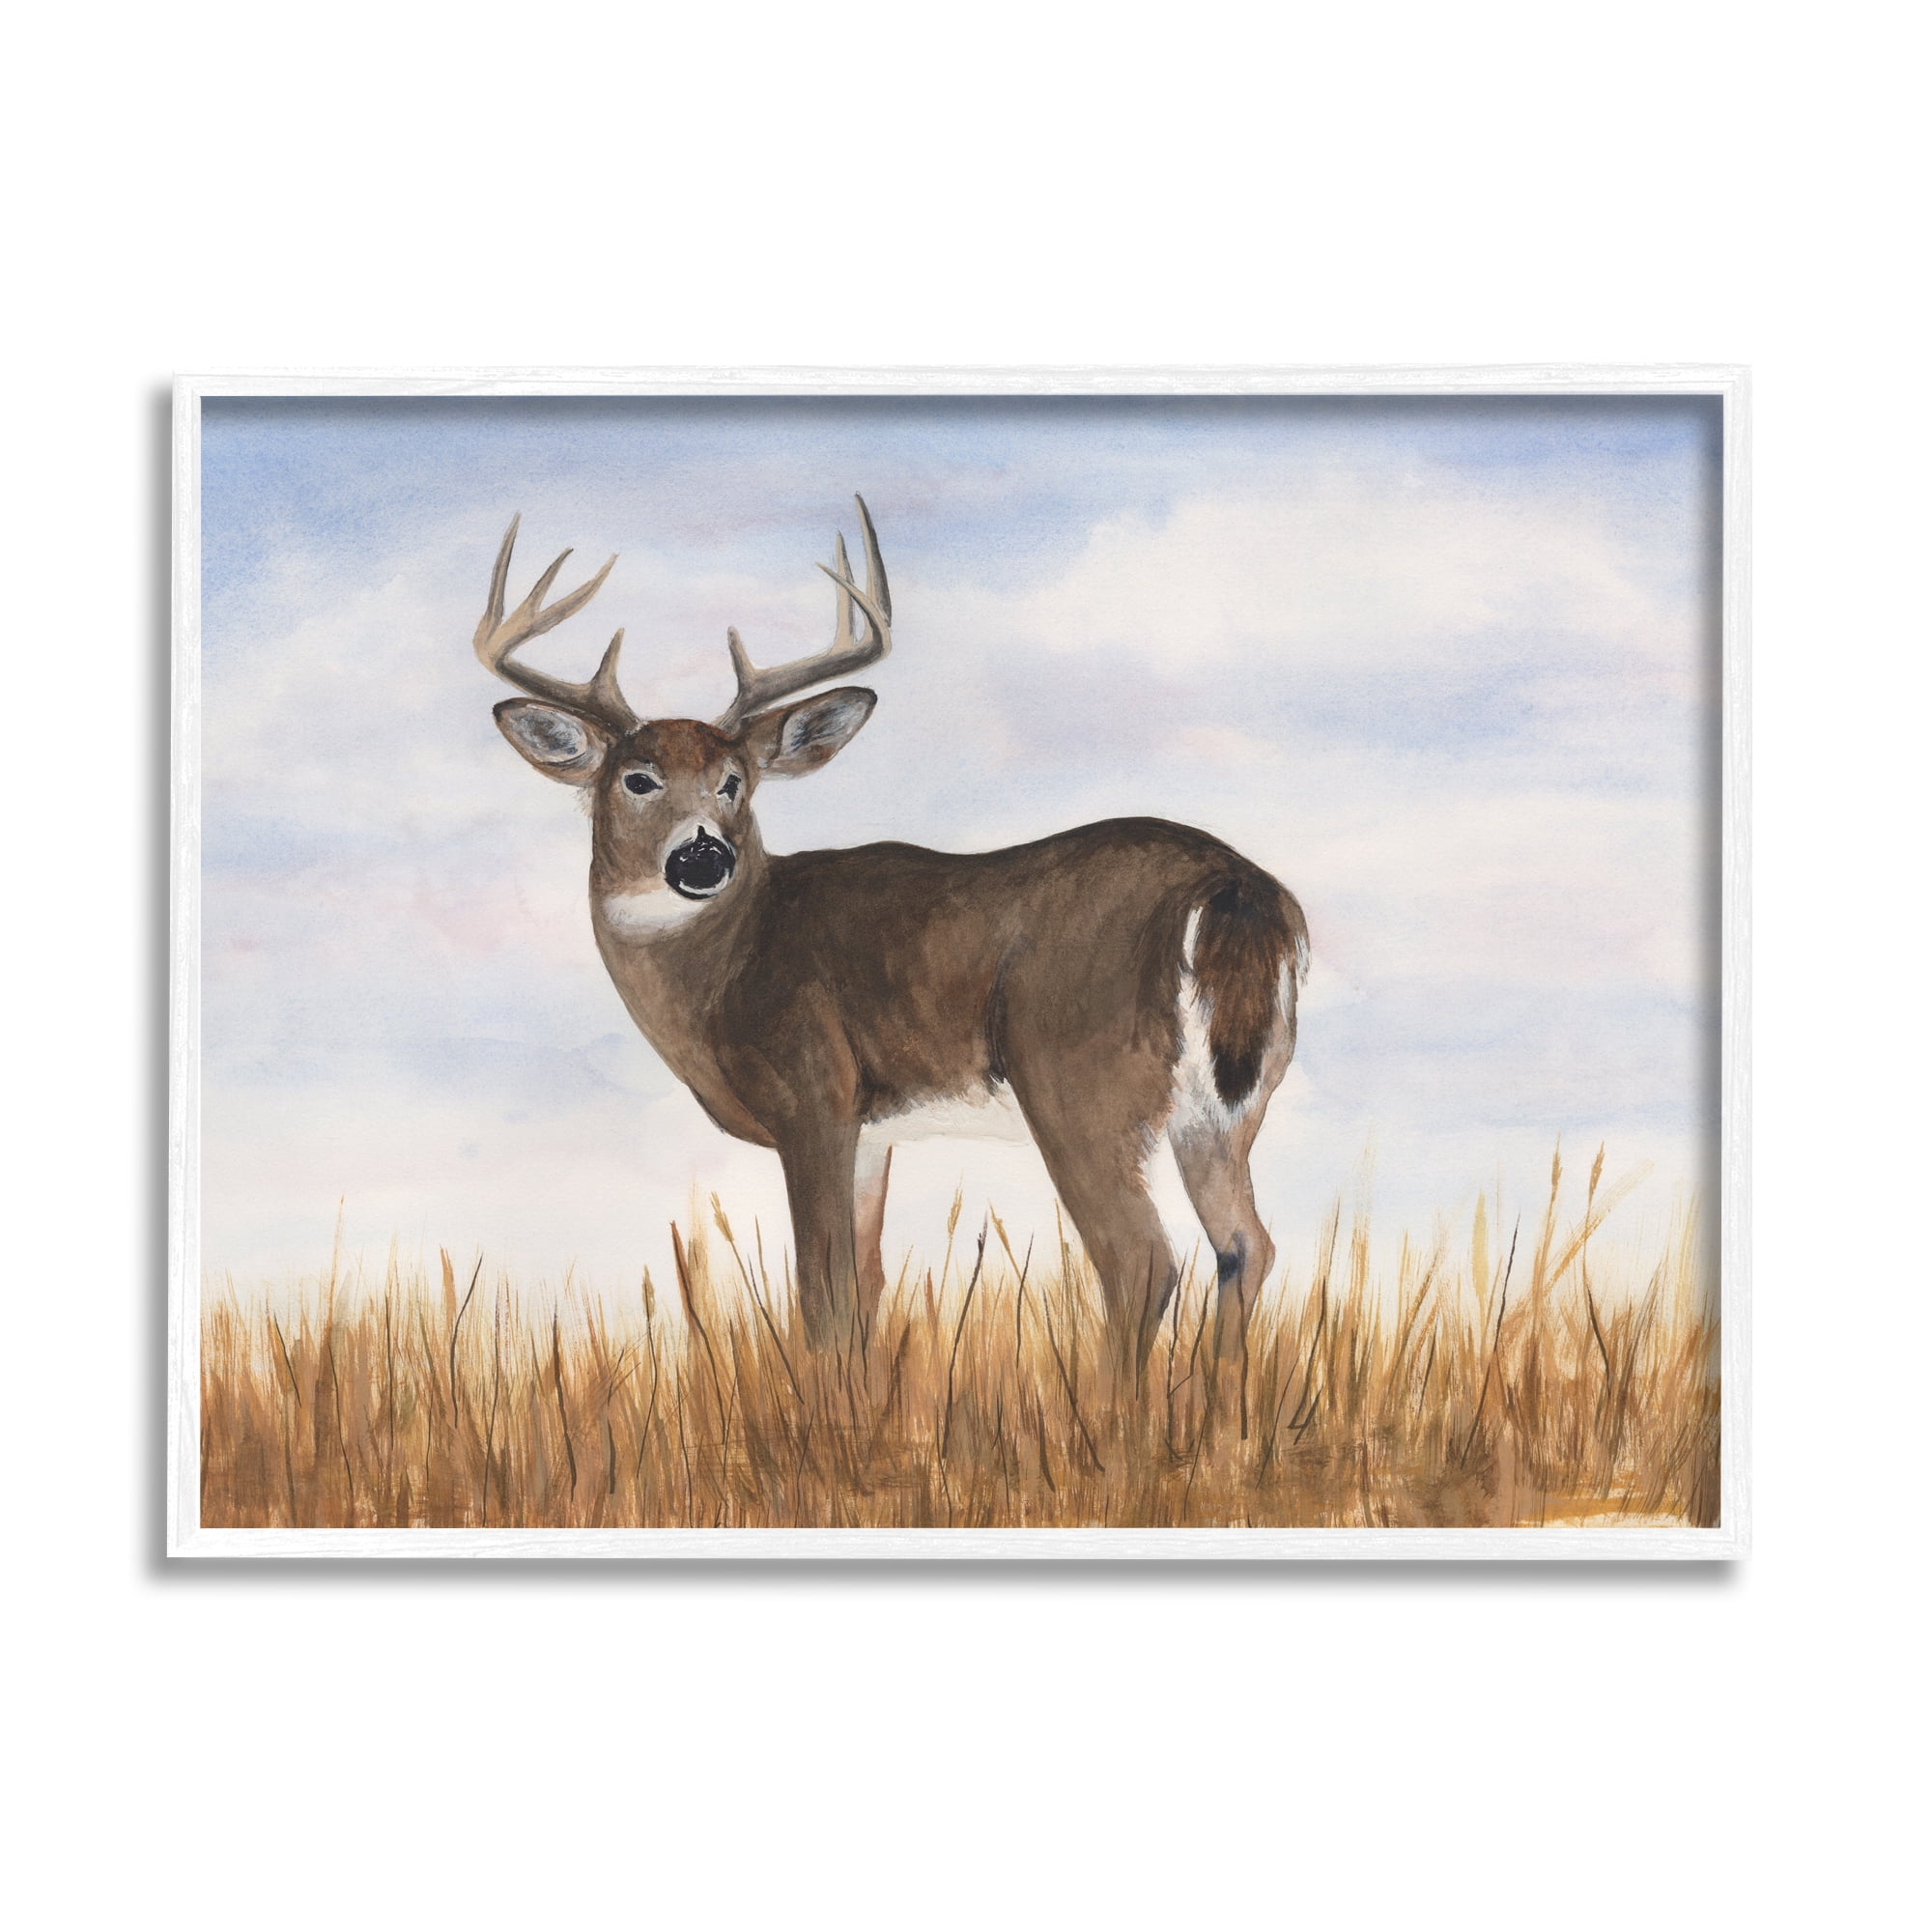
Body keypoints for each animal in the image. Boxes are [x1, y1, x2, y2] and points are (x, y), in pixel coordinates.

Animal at [474, 498, 1308, 1385]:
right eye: (638, 778)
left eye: (736, 782)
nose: (704, 855)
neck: (731, 964)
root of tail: (1233, 886)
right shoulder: (872, 1130)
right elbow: (866, 1287)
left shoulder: (813, 1093)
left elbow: (822, 1287)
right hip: (1226, 1109)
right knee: (1246, 1246)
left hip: (1077, 1079)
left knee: (1140, 1258)